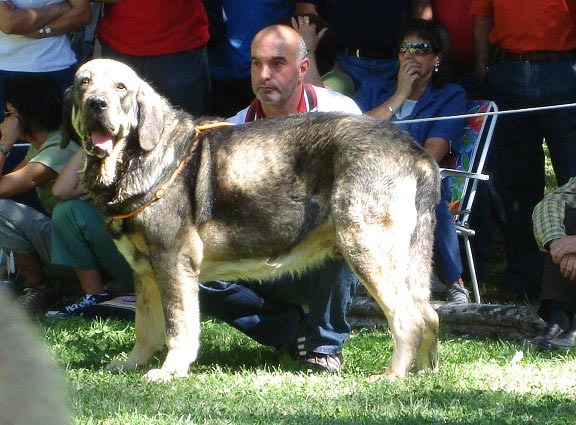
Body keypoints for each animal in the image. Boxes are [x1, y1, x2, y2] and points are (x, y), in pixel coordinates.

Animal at [65, 57, 440, 380]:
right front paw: (132, 364)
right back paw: (423, 371)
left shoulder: (173, 261)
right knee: (429, 314)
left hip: (363, 245)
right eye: (84, 82)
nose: (96, 103)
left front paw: (170, 370)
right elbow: (146, 328)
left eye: (121, 88)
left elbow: (177, 324)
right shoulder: (145, 271)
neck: (132, 161)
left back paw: (393, 375)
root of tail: (415, 152)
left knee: (407, 318)